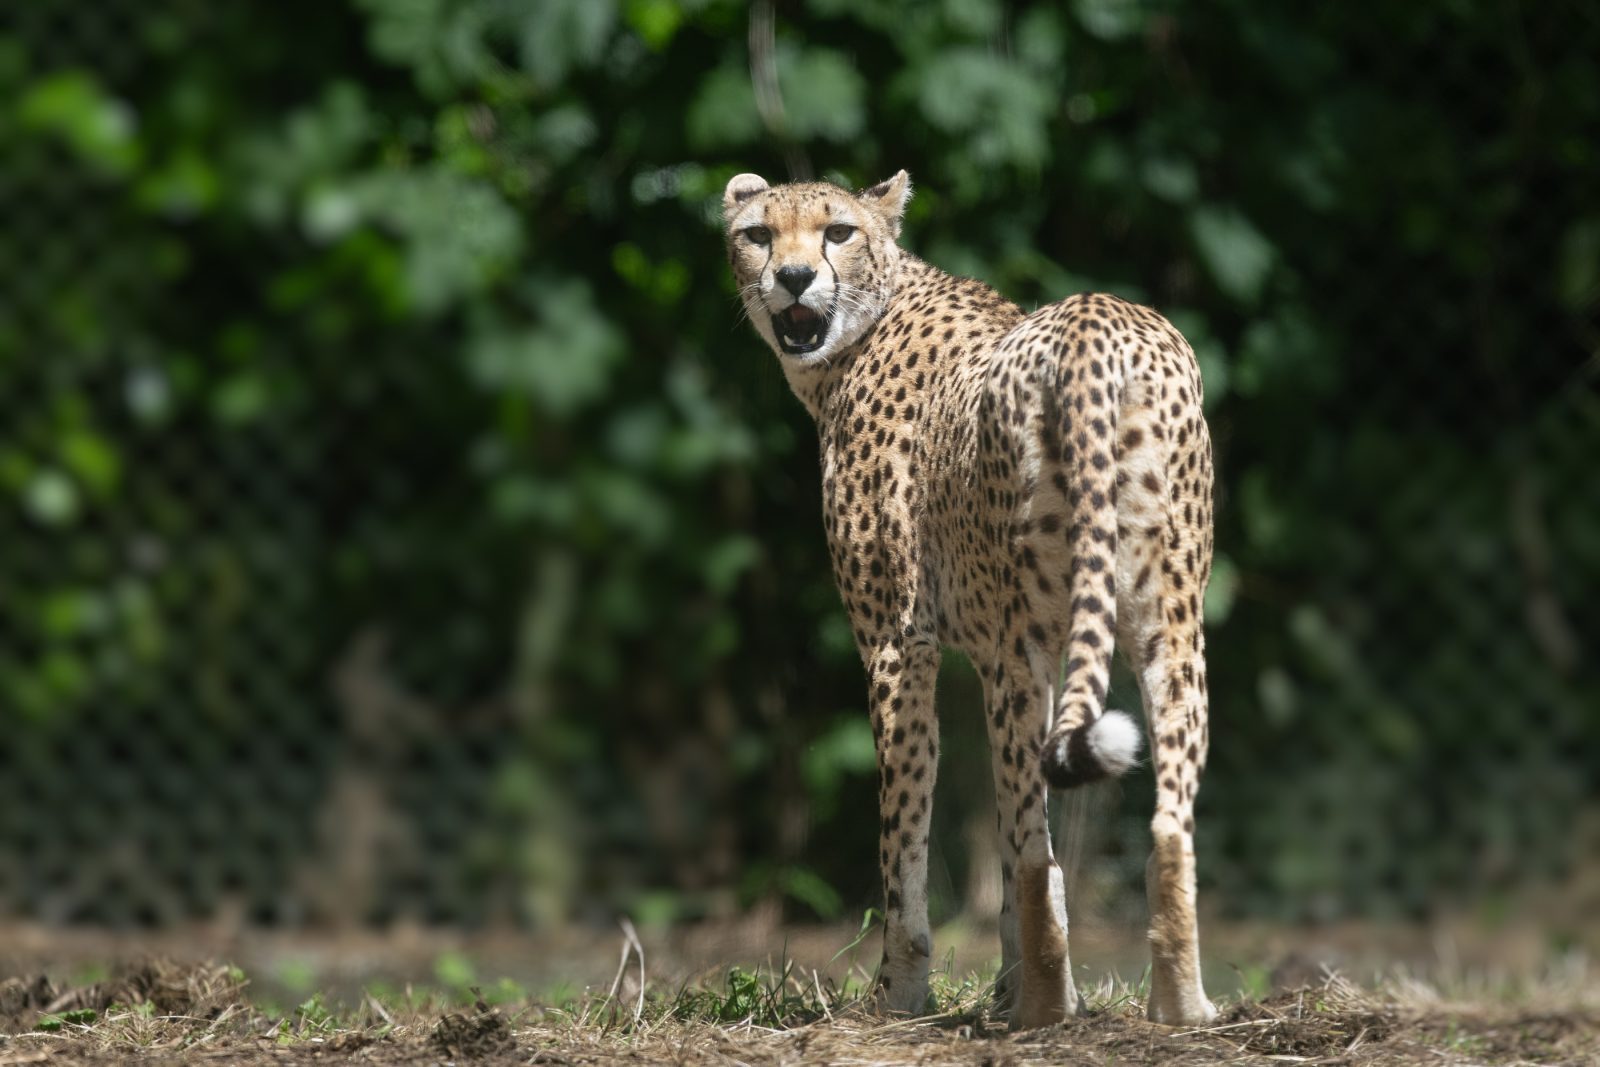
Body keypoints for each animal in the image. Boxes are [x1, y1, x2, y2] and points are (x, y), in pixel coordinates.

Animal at [726, 171, 1209, 1030]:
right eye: (758, 234)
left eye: (838, 231)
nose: (794, 277)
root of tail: (1101, 316)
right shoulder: (989, 656)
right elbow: (1009, 841)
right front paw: (1009, 984)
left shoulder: (899, 643)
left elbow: (906, 835)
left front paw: (900, 993)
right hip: (1170, 629)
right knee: (1166, 826)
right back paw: (1179, 1005)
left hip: (1029, 645)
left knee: (1040, 842)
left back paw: (1046, 1010)